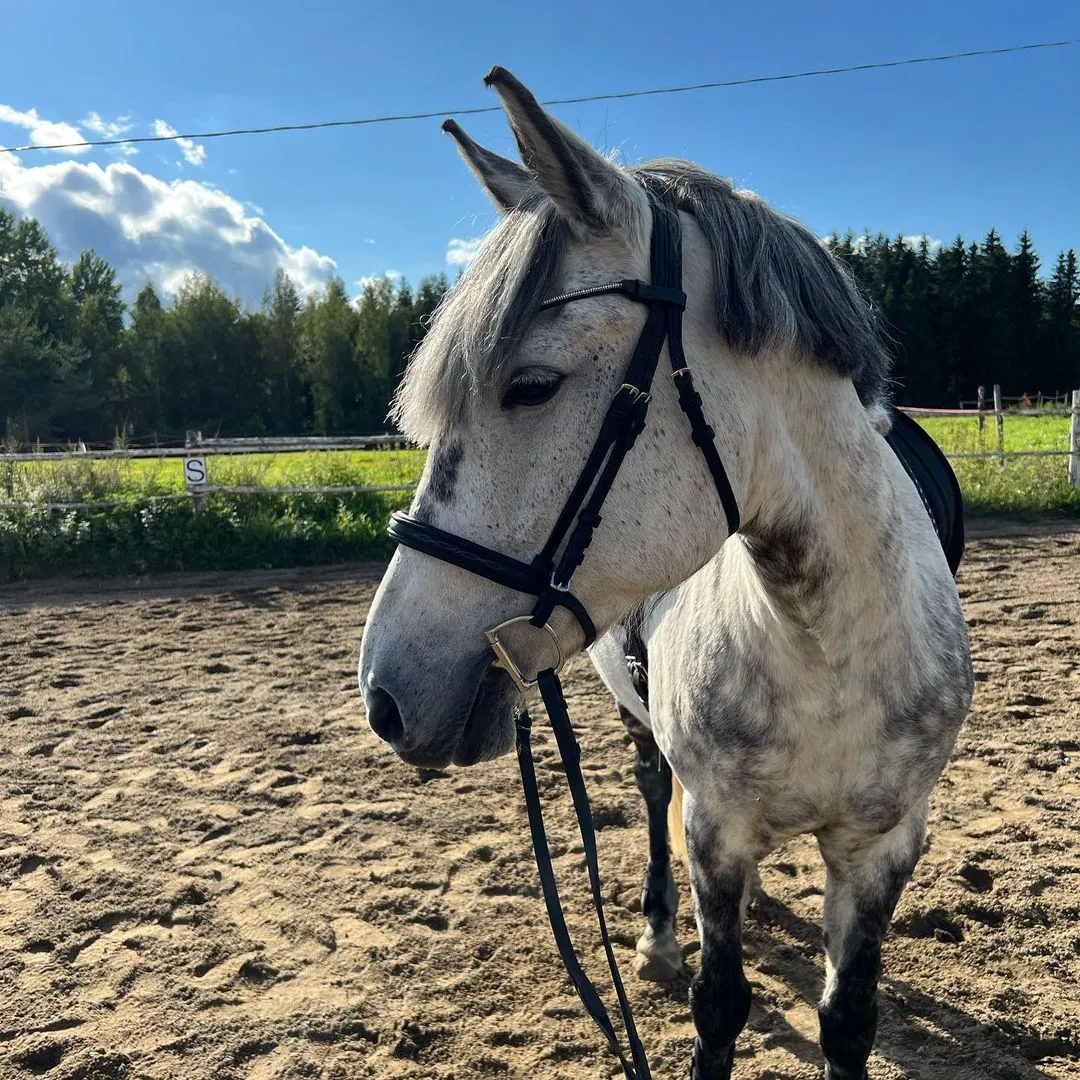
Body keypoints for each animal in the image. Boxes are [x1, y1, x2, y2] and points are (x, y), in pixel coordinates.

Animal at [359, 66, 973, 1080]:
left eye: (530, 386)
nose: (385, 694)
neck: (826, 649)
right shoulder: (717, 831)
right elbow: (718, 1005)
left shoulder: (883, 846)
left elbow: (849, 1020)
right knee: (653, 795)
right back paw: (654, 932)